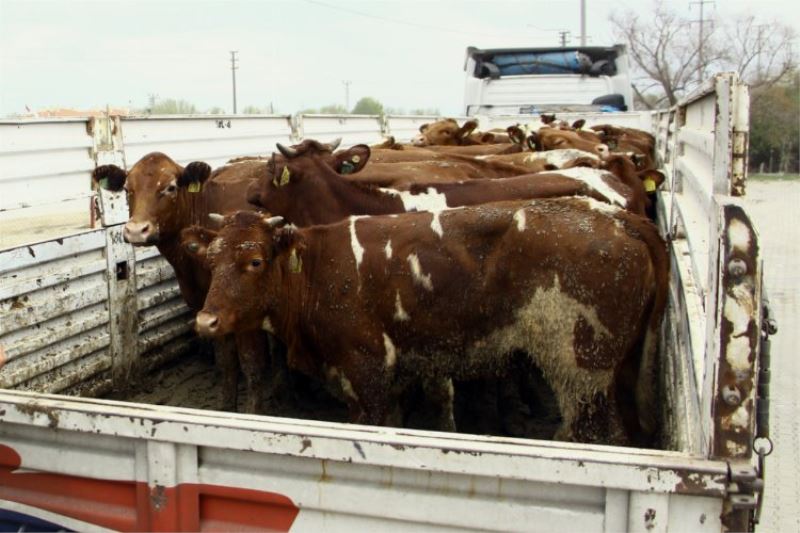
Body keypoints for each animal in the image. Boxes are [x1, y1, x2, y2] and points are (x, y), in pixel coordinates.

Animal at [92, 153, 270, 412]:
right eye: (127, 189)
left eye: (171, 187)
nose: (136, 230)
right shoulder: (210, 309)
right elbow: (227, 361)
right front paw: (226, 407)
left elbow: (252, 365)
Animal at [191, 197, 664, 442]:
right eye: (210, 259)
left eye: (254, 261)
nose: (205, 321)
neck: (319, 270)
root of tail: (614, 216)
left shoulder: (366, 373)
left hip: (579, 371)